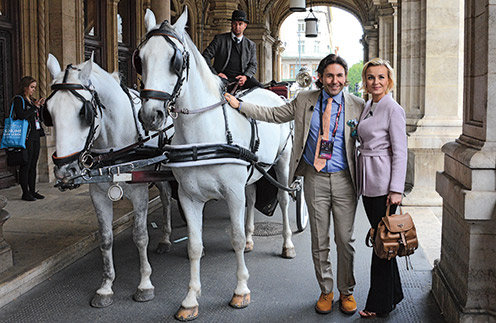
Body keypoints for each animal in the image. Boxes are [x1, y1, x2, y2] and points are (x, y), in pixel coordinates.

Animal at [46, 53, 174, 308]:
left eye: (83, 112)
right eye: (48, 112)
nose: (65, 171)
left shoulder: (139, 191)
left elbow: (140, 235)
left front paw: (145, 284)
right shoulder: (97, 194)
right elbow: (105, 239)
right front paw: (106, 287)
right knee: (166, 196)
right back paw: (165, 238)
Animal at [137, 8, 294, 322]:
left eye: (175, 60)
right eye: (141, 58)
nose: (151, 115)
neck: (203, 135)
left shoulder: (231, 193)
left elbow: (234, 238)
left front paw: (241, 290)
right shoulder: (189, 197)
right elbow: (195, 246)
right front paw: (189, 299)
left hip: (283, 161)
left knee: (283, 200)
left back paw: (287, 244)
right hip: (252, 171)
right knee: (252, 197)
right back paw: (252, 237)